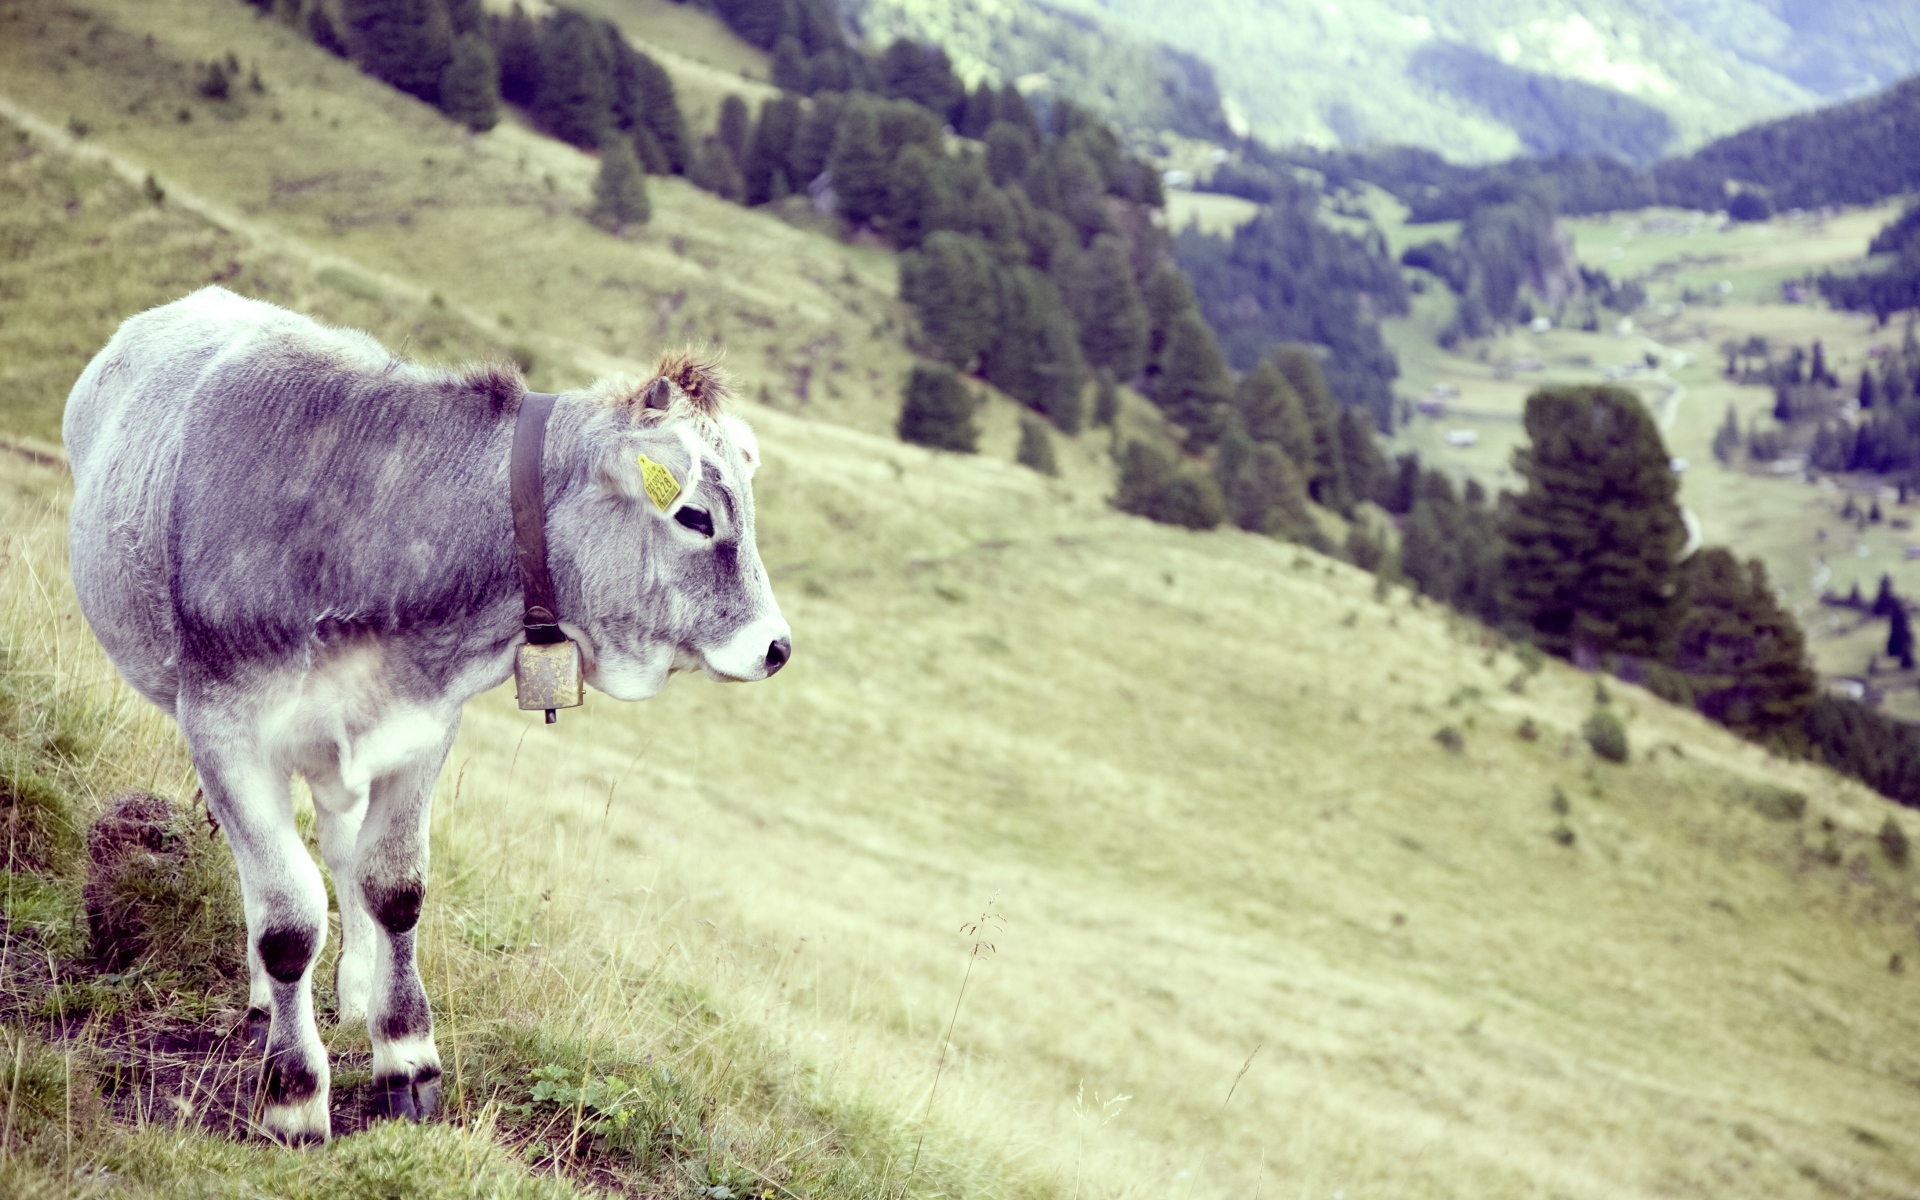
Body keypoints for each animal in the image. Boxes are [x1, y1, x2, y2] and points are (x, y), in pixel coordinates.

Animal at [62, 286, 790, 1145]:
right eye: (695, 517)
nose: (776, 646)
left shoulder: (420, 730)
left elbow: (393, 887)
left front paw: (405, 1055)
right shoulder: (224, 730)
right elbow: (286, 920)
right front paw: (293, 1094)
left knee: (339, 849)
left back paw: (355, 985)